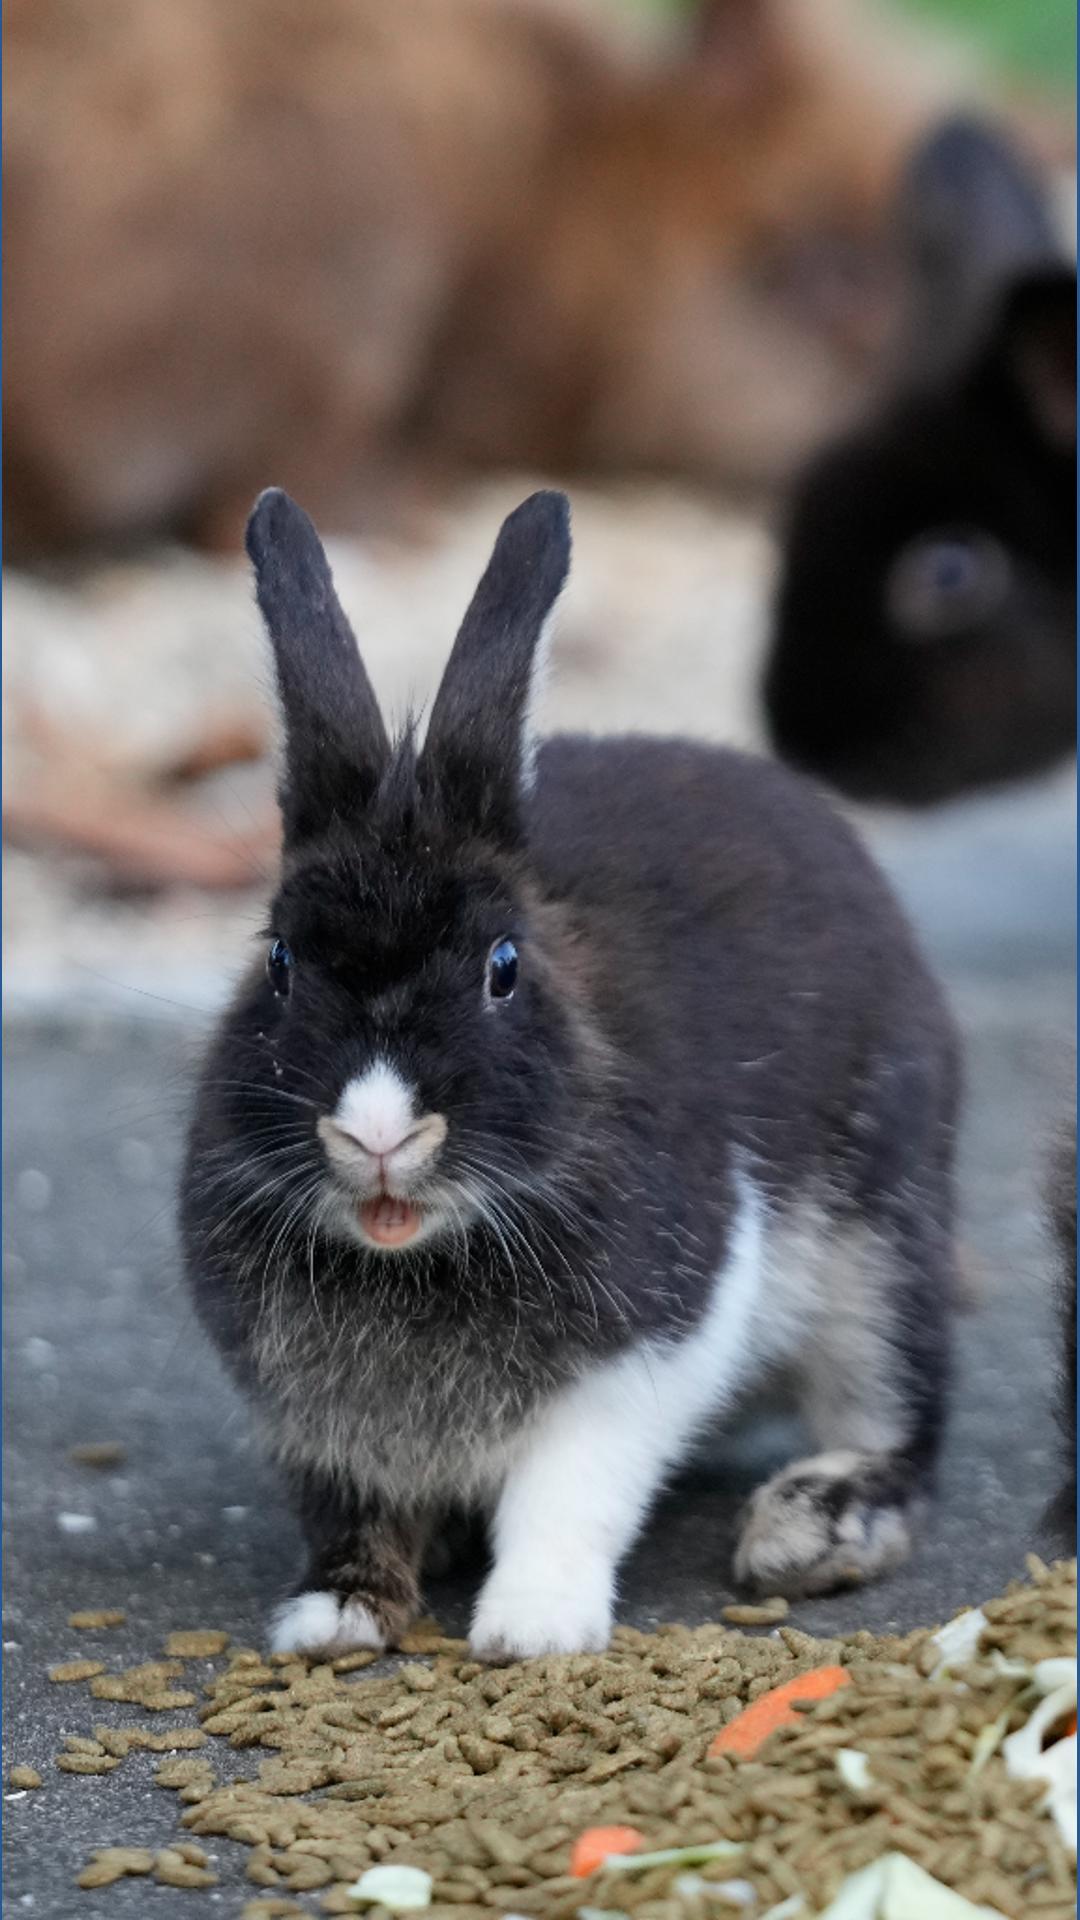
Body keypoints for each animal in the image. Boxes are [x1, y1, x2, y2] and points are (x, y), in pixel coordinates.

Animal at [181, 486, 961, 1660]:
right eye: (277, 961)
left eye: (504, 967)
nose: (377, 1132)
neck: (422, 1252)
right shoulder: (318, 1420)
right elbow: (353, 1509)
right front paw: (335, 1618)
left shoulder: (651, 1350)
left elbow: (570, 1487)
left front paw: (531, 1628)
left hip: (880, 1243)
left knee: (901, 1408)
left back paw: (813, 1524)